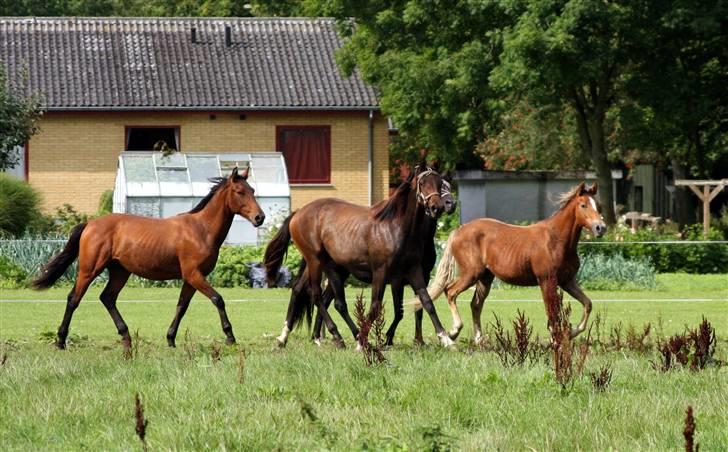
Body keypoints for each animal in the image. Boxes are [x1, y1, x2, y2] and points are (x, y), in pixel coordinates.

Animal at [32, 167, 264, 354]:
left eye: (252, 191)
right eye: (240, 192)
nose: (259, 218)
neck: (201, 229)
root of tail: (90, 224)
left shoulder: (191, 278)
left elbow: (182, 306)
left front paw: (170, 339)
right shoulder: (194, 274)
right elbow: (218, 299)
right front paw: (230, 337)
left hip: (120, 271)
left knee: (107, 298)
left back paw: (126, 337)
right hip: (89, 270)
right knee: (74, 299)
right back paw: (61, 341)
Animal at [262, 168, 456, 348]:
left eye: (440, 183)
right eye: (422, 183)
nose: (438, 207)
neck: (396, 228)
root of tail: (298, 213)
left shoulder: (414, 271)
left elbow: (426, 302)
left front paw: (446, 339)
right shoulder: (382, 273)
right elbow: (376, 307)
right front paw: (368, 341)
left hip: (330, 267)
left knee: (320, 297)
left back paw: (296, 337)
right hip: (314, 261)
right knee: (315, 295)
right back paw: (334, 336)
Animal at [412, 183, 604, 342]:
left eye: (598, 206)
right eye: (583, 205)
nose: (600, 228)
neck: (556, 240)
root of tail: (459, 230)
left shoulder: (567, 281)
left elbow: (587, 304)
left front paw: (570, 333)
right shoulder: (547, 280)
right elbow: (553, 312)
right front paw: (556, 338)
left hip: (485, 278)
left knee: (475, 304)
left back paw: (478, 339)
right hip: (471, 274)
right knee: (450, 291)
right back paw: (454, 331)